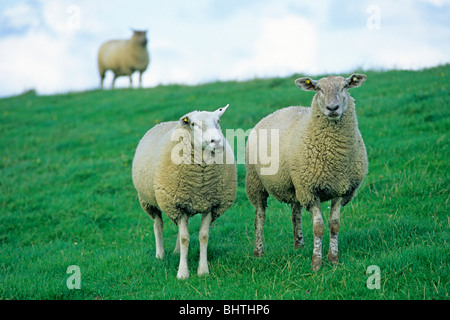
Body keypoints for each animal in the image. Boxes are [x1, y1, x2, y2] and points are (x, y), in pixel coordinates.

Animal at [132, 104, 237, 278]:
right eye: (193, 124)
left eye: (218, 121)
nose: (216, 141)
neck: (200, 183)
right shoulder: (177, 205)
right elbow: (184, 239)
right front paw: (182, 273)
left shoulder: (209, 204)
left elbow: (202, 236)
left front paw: (203, 270)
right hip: (150, 201)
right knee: (158, 224)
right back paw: (160, 254)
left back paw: (176, 252)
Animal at [246, 74, 370, 270]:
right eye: (318, 89)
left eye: (345, 86)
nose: (332, 108)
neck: (335, 157)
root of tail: (278, 111)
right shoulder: (310, 191)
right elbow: (318, 227)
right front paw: (316, 263)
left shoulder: (341, 189)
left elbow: (334, 225)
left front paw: (333, 259)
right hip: (255, 182)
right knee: (259, 217)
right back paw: (259, 252)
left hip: (295, 184)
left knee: (295, 213)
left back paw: (299, 245)